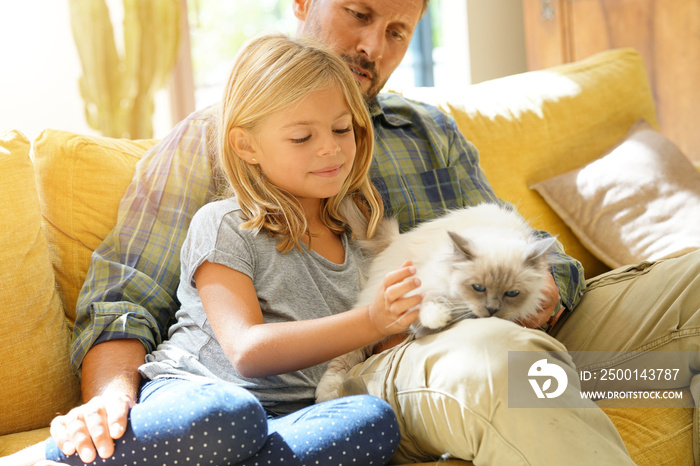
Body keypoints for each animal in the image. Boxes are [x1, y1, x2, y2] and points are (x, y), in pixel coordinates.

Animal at [314, 202, 556, 402]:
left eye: (512, 293)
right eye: (478, 288)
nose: (492, 310)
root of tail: (396, 239)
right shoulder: (421, 289)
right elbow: (431, 307)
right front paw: (437, 319)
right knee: (346, 353)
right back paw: (327, 393)